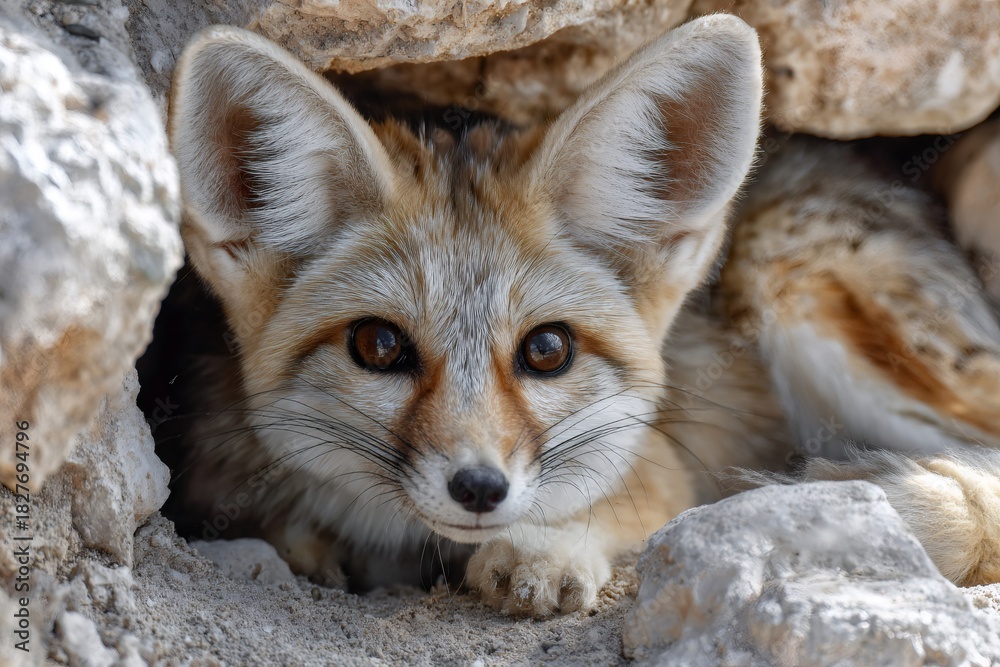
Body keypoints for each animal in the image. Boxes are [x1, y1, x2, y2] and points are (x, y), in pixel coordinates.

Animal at [161, 15, 1000, 617]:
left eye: (547, 350)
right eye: (378, 344)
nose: (479, 487)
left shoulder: (661, 459)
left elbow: (638, 505)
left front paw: (550, 548)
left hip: (800, 291)